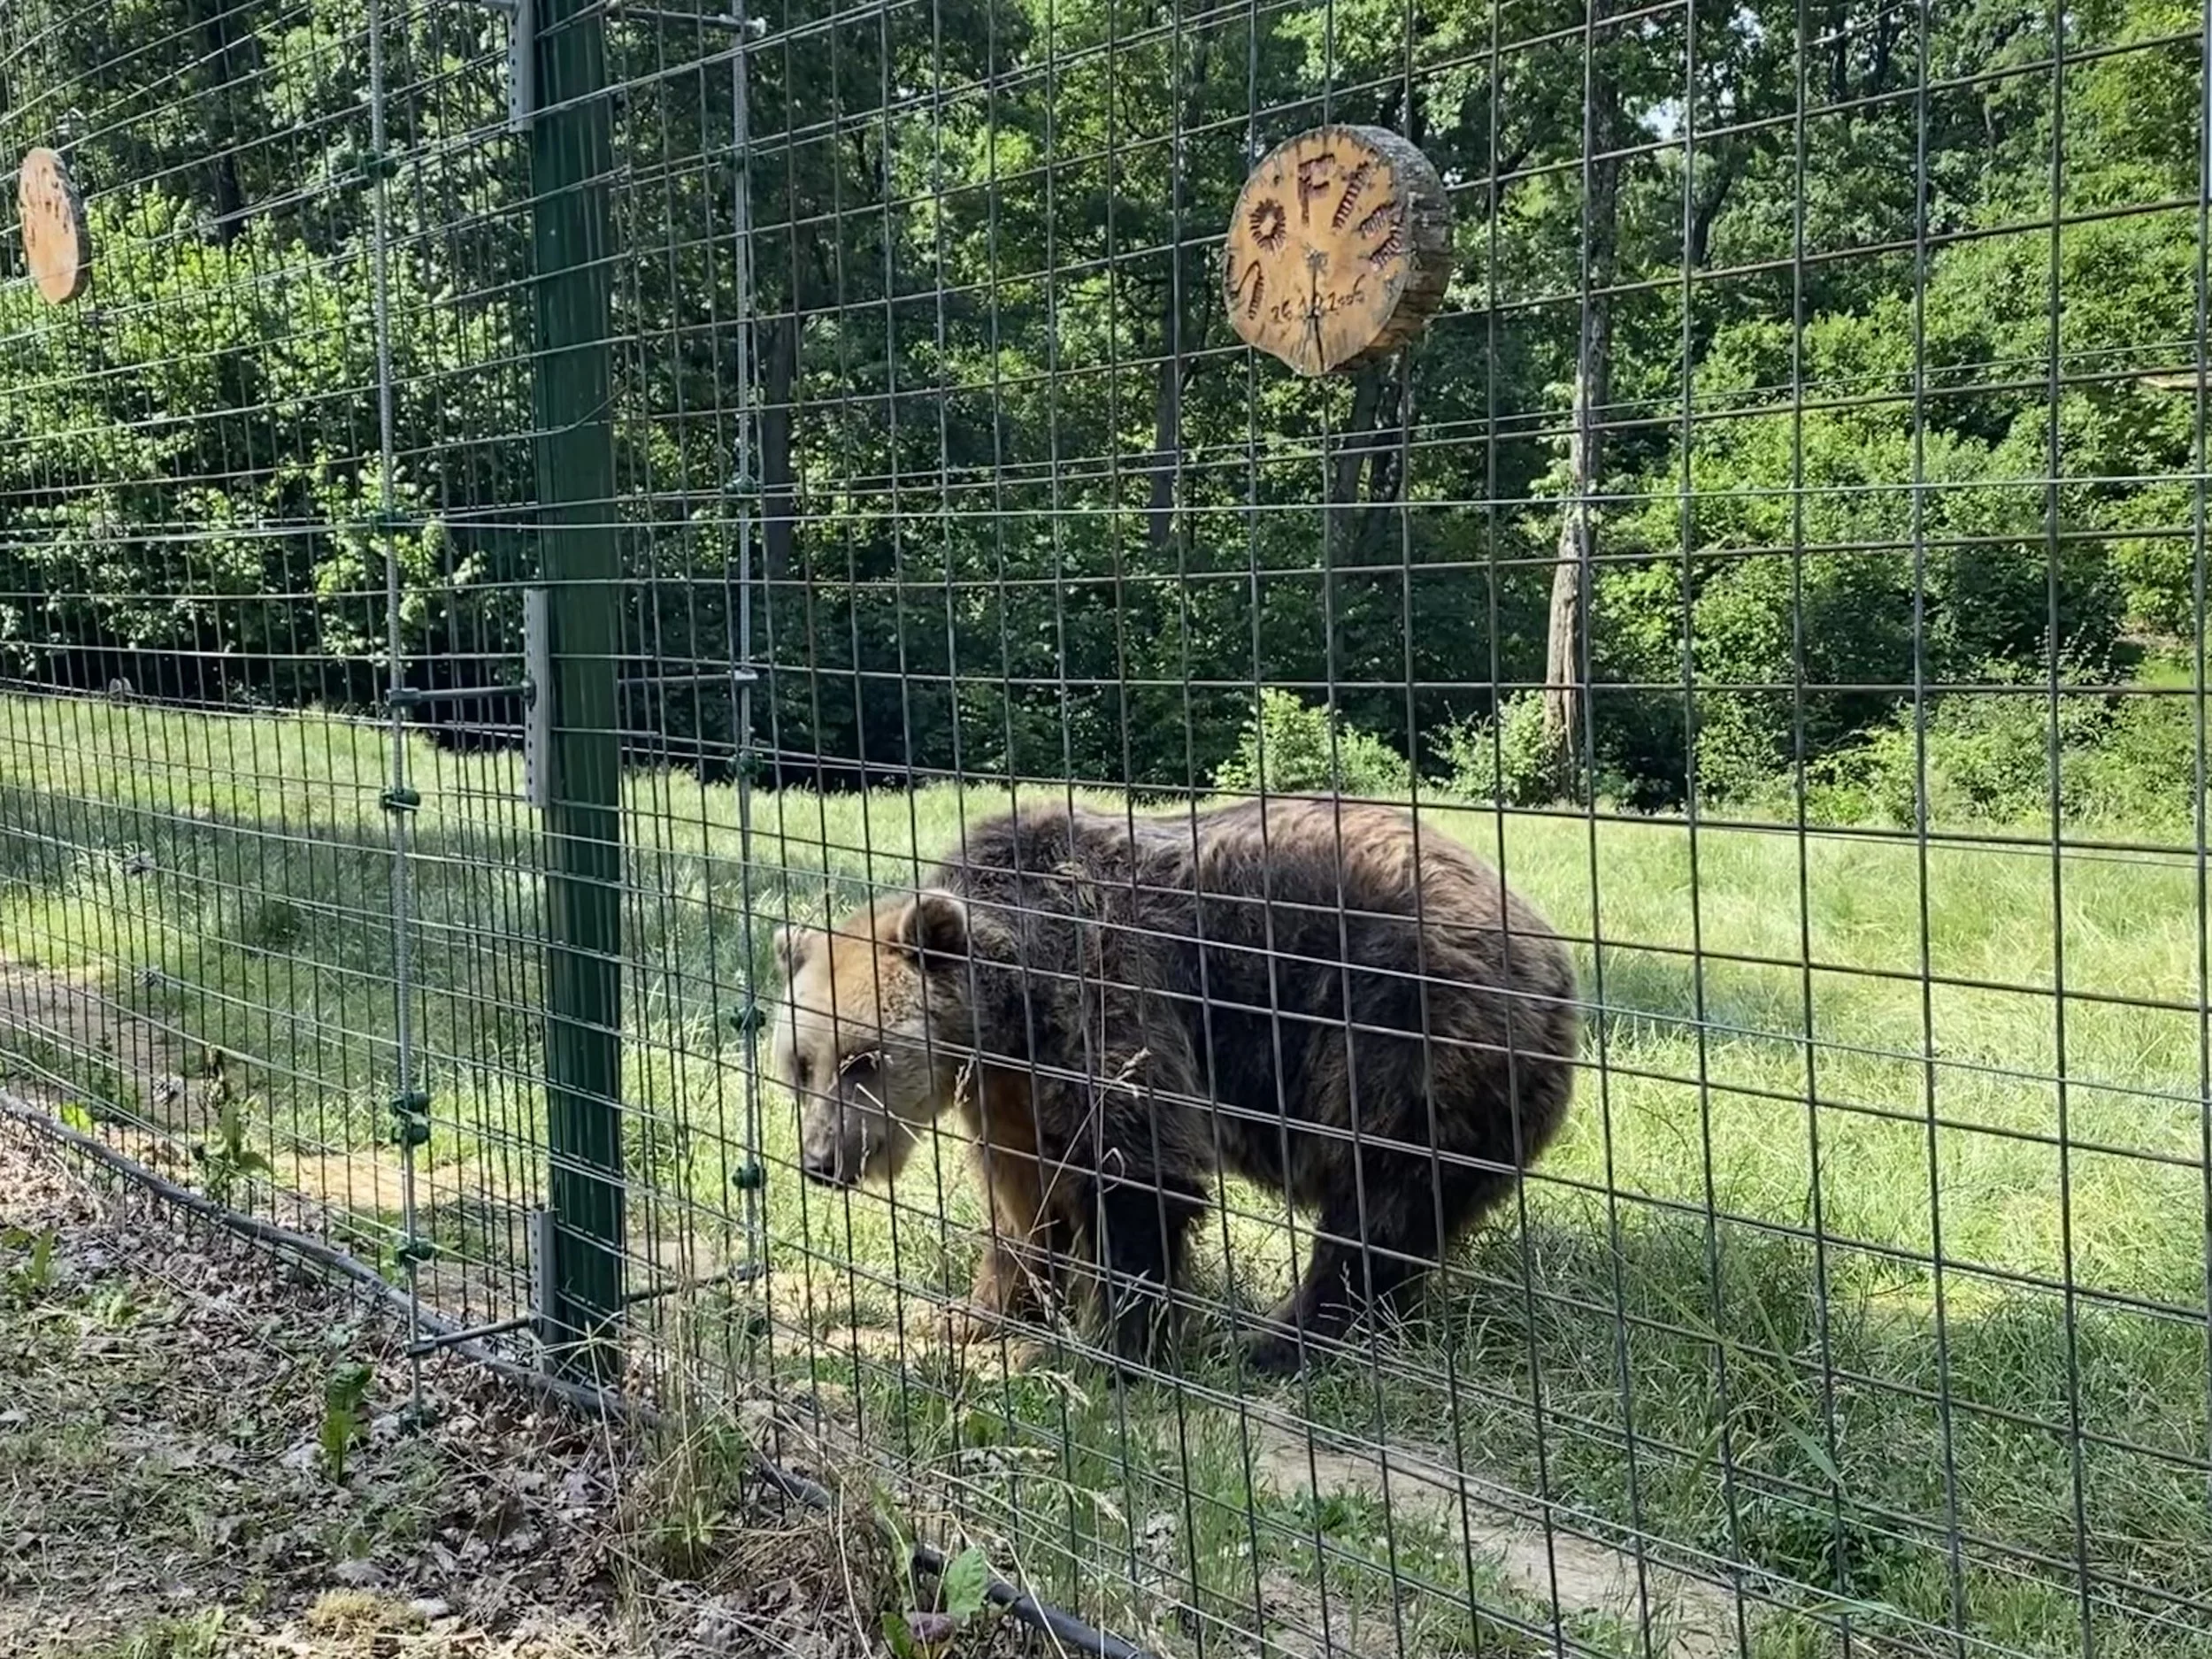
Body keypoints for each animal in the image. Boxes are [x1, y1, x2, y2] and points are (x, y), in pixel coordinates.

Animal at [767, 796, 1579, 1375]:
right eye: (799, 1065)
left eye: (862, 1059)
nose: (821, 1160)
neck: (1008, 1011)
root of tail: (1551, 953)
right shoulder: (1008, 1087)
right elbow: (1022, 1195)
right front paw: (979, 1310)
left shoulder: (1107, 997)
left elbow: (1136, 1170)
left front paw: (1119, 1349)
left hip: (1404, 1030)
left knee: (1378, 1198)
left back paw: (1286, 1339)